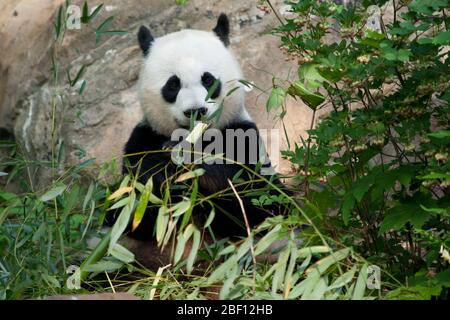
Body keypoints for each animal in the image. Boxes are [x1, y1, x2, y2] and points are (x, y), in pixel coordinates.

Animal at [110, 14, 292, 240]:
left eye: (208, 80)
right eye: (173, 84)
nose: (195, 111)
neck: (197, 139)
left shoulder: (242, 136)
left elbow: (264, 199)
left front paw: (190, 161)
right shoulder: (144, 138)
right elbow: (130, 209)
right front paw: (160, 170)